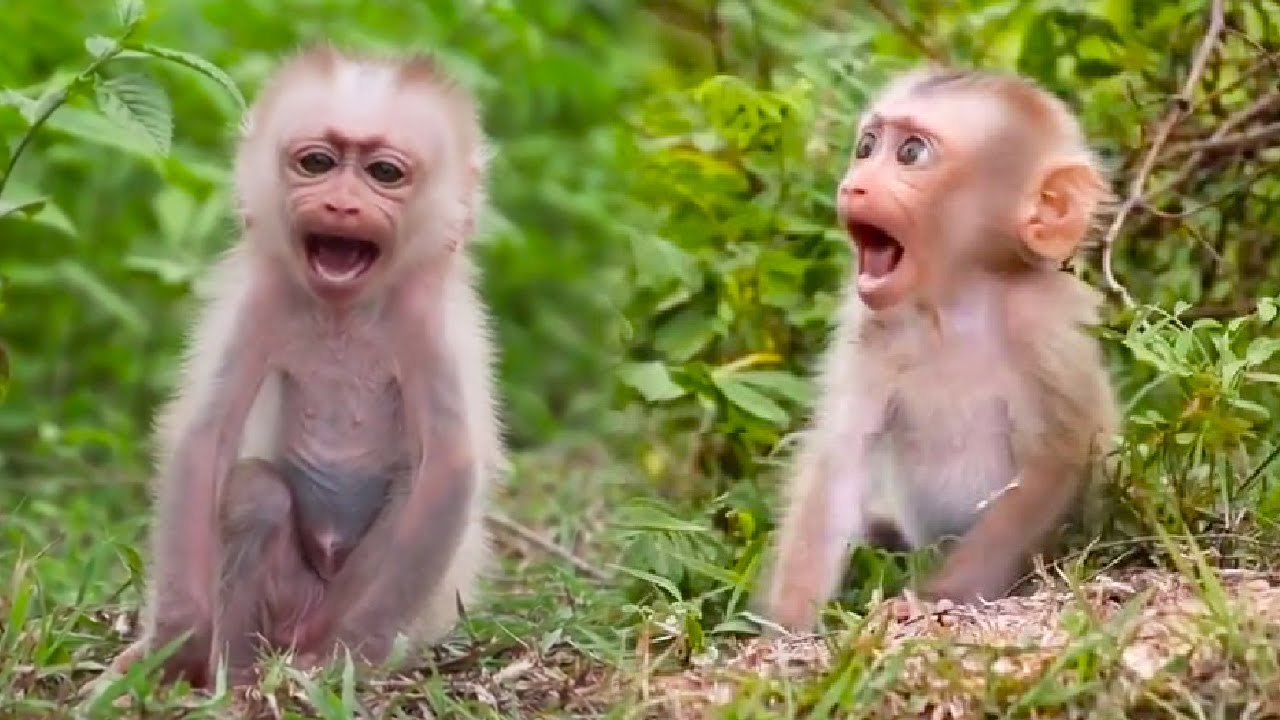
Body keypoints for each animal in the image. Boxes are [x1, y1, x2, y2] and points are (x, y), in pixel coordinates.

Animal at [103, 46, 504, 687]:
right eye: (317, 163)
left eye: (384, 174)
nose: (340, 203)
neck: (343, 313)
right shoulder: (261, 300)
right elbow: (205, 440)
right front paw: (175, 642)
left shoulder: (428, 324)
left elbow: (447, 467)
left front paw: (354, 654)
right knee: (257, 495)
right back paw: (238, 677)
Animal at [761, 67, 1117, 631]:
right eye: (866, 147)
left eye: (911, 154)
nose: (854, 184)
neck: (955, 304)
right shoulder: (871, 323)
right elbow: (840, 452)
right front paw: (788, 624)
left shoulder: (1047, 328)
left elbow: (1056, 461)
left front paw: (935, 599)